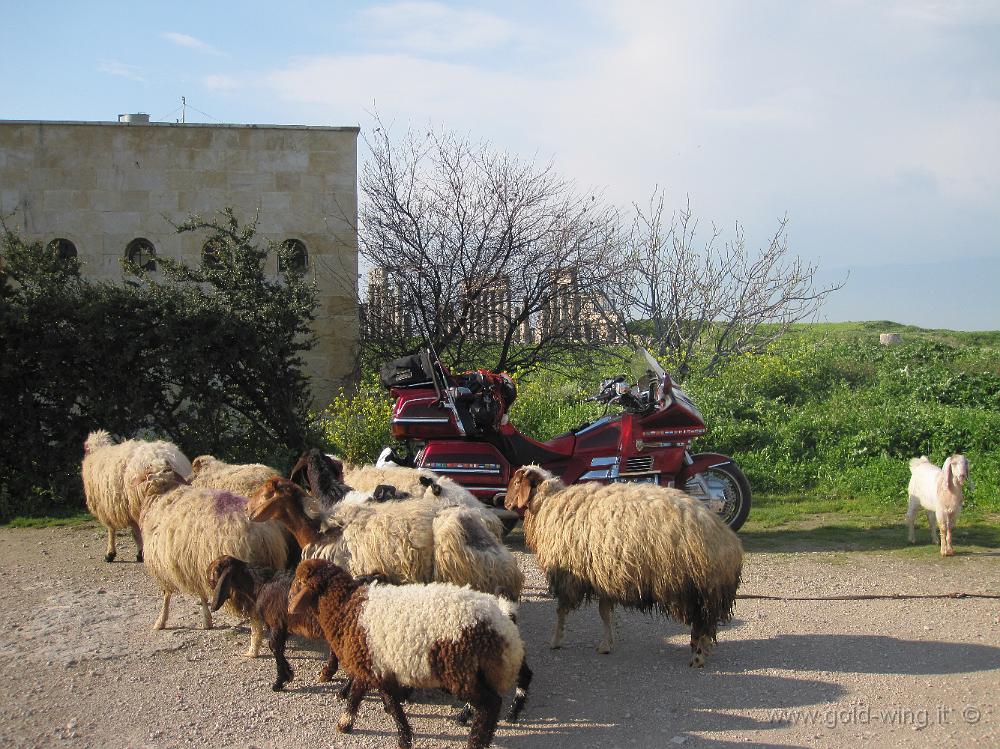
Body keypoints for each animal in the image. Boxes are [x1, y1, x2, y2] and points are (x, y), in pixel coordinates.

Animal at [136, 456, 290, 648]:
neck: (163, 494)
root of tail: (264, 534)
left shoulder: (162, 564)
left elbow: (166, 595)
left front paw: (160, 622)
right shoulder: (193, 564)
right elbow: (201, 594)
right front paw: (207, 620)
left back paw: (253, 646)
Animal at [508, 462, 744, 668]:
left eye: (516, 481)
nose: (506, 503)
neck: (549, 503)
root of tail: (728, 542)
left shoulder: (568, 576)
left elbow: (561, 611)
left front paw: (556, 641)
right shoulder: (602, 574)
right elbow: (605, 613)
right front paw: (606, 644)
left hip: (694, 587)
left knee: (701, 623)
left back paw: (698, 657)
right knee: (704, 624)